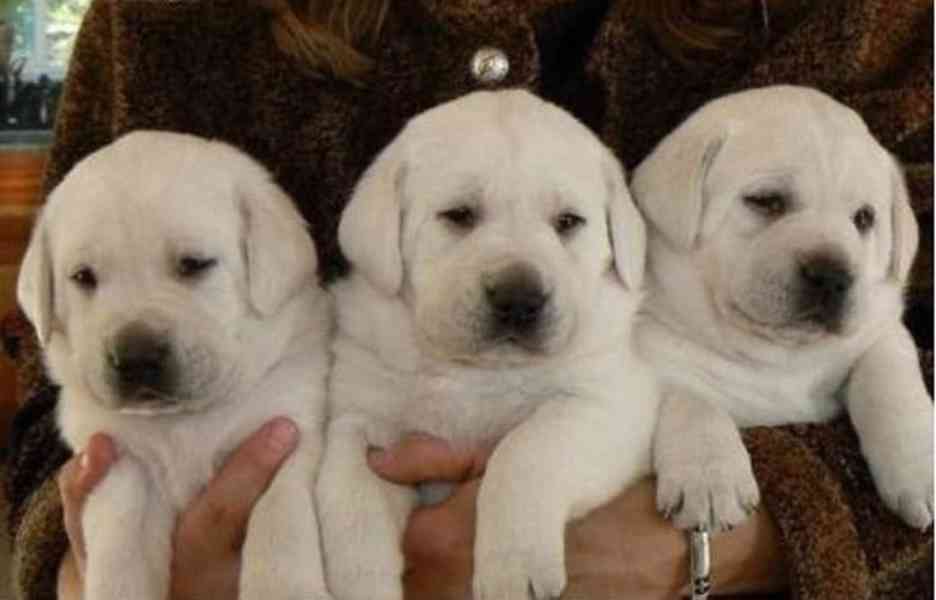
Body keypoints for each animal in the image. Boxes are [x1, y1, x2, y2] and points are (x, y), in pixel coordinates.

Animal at [18, 131, 334, 600]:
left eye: (194, 264)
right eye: (83, 277)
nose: (135, 358)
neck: (183, 421)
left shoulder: (290, 432)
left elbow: (280, 521)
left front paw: (285, 587)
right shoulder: (119, 460)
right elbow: (120, 544)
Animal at [318, 89, 656, 600]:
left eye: (568, 222)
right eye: (459, 215)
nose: (519, 299)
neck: (479, 370)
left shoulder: (606, 403)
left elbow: (525, 449)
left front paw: (513, 566)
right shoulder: (362, 422)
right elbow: (350, 501)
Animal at [632, 84, 932, 528]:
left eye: (864, 218)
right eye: (766, 201)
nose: (832, 275)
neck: (779, 354)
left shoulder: (881, 329)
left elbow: (891, 385)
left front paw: (921, 468)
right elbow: (690, 396)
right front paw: (709, 476)